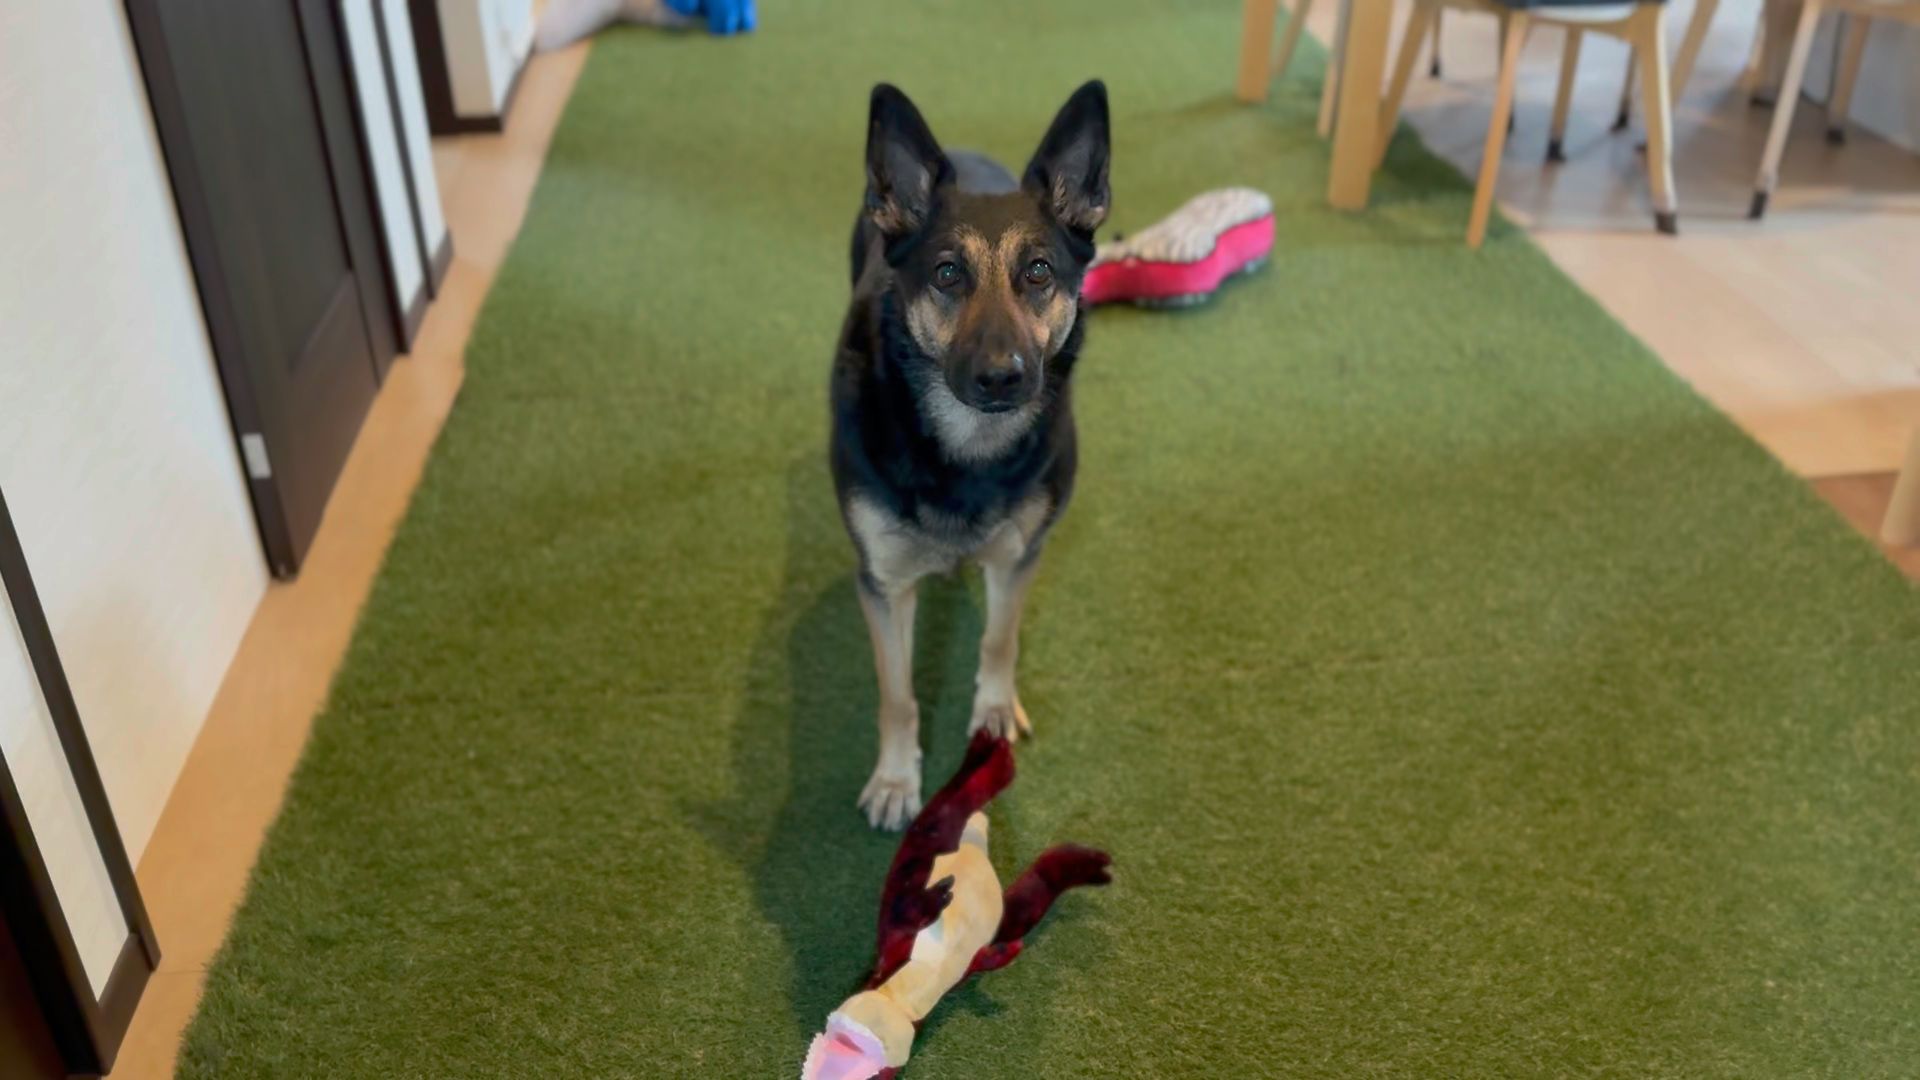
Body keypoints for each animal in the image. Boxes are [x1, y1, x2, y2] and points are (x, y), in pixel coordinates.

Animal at [829, 80, 1110, 830]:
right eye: (948, 274)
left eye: (1039, 272)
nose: (1001, 377)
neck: (965, 450)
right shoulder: (882, 582)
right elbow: (897, 695)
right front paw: (897, 779)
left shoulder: (1021, 555)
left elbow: (998, 639)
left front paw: (992, 711)